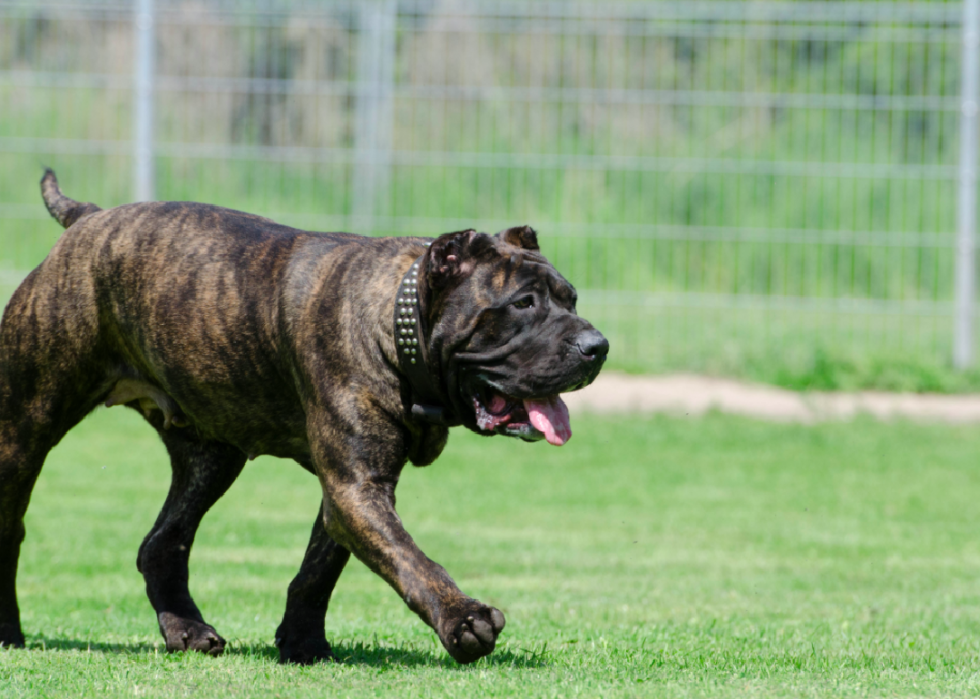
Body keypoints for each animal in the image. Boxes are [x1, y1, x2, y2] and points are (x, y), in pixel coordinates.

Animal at [0, 172, 608, 664]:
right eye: (524, 304)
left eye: (572, 299)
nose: (596, 345)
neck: (397, 324)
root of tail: (87, 218)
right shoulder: (356, 486)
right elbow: (409, 559)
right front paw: (463, 619)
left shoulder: (353, 488)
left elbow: (322, 567)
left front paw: (302, 642)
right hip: (25, 427)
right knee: (13, 525)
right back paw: (11, 632)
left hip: (210, 455)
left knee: (163, 543)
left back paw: (187, 630)